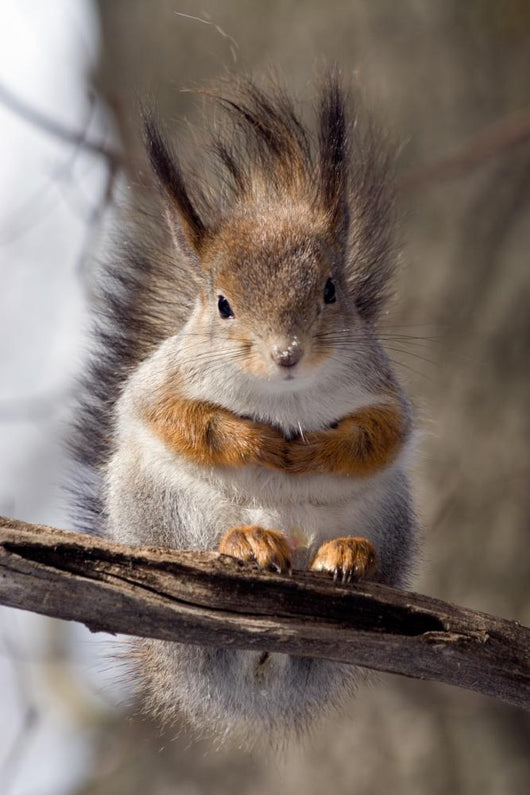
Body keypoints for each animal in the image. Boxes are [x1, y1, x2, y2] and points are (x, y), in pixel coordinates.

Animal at [70, 74, 418, 743]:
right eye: (223, 305)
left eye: (331, 290)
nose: (287, 354)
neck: (284, 396)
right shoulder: (161, 383)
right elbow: (181, 420)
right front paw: (255, 442)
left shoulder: (383, 389)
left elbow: (380, 435)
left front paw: (318, 450)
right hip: (164, 506)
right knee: (206, 535)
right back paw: (248, 541)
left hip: (387, 512)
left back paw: (349, 554)